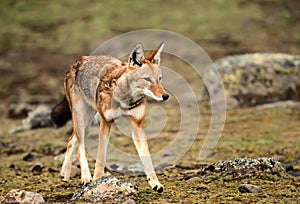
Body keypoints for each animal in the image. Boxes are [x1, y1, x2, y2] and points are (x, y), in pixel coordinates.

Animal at [51, 42, 169, 193]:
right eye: (147, 79)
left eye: (160, 79)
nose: (165, 96)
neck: (125, 99)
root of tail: (78, 61)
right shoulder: (106, 122)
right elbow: (100, 157)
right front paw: (96, 181)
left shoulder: (137, 125)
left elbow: (147, 158)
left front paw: (155, 183)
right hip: (80, 118)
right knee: (80, 147)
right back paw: (85, 177)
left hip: (87, 121)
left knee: (72, 140)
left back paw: (64, 174)